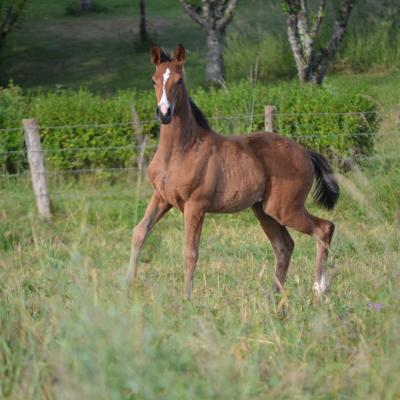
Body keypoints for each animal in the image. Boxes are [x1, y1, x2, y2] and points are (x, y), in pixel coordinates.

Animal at [126, 44, 340, 300]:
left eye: (179, 80)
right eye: (153, 80)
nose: (164, 113)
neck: (181, 150)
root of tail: (305, 152)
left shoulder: (195, 205)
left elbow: (190, 251)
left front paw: (186, 298)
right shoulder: (161, 197)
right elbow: (139, 232)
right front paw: (126, 285)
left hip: (286, 209)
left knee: (324, 228)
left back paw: (319, 287)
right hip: (264, 210)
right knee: (284, 246)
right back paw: (275, 295)